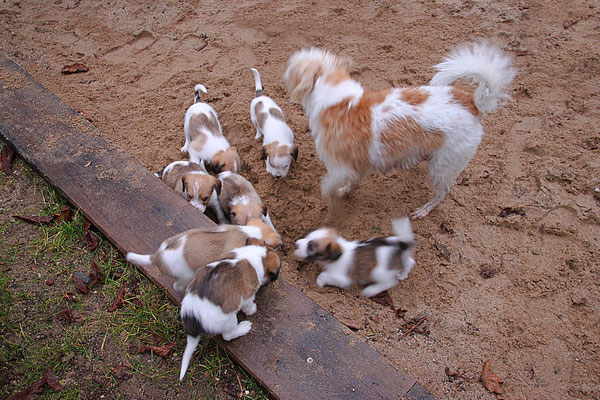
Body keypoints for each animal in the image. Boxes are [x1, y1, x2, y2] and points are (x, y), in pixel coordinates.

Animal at [178, 244, 282, 382]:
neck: (258, 256)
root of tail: (193, 317)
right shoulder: (248, 295)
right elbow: (249, 305)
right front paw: (252, 310)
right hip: (230, 320)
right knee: (228, 336)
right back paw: (244, 327)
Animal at [284, 41, 516, 217]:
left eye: (293, 67)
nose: (285, 68)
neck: (337, 98)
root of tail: (472, 102)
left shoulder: (338, 166)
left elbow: (327, 186)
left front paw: (332, 207)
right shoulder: (357, 163)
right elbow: (352, 181)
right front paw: (345, 193)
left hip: (443, 166)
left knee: (442, 192)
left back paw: (423, 210)